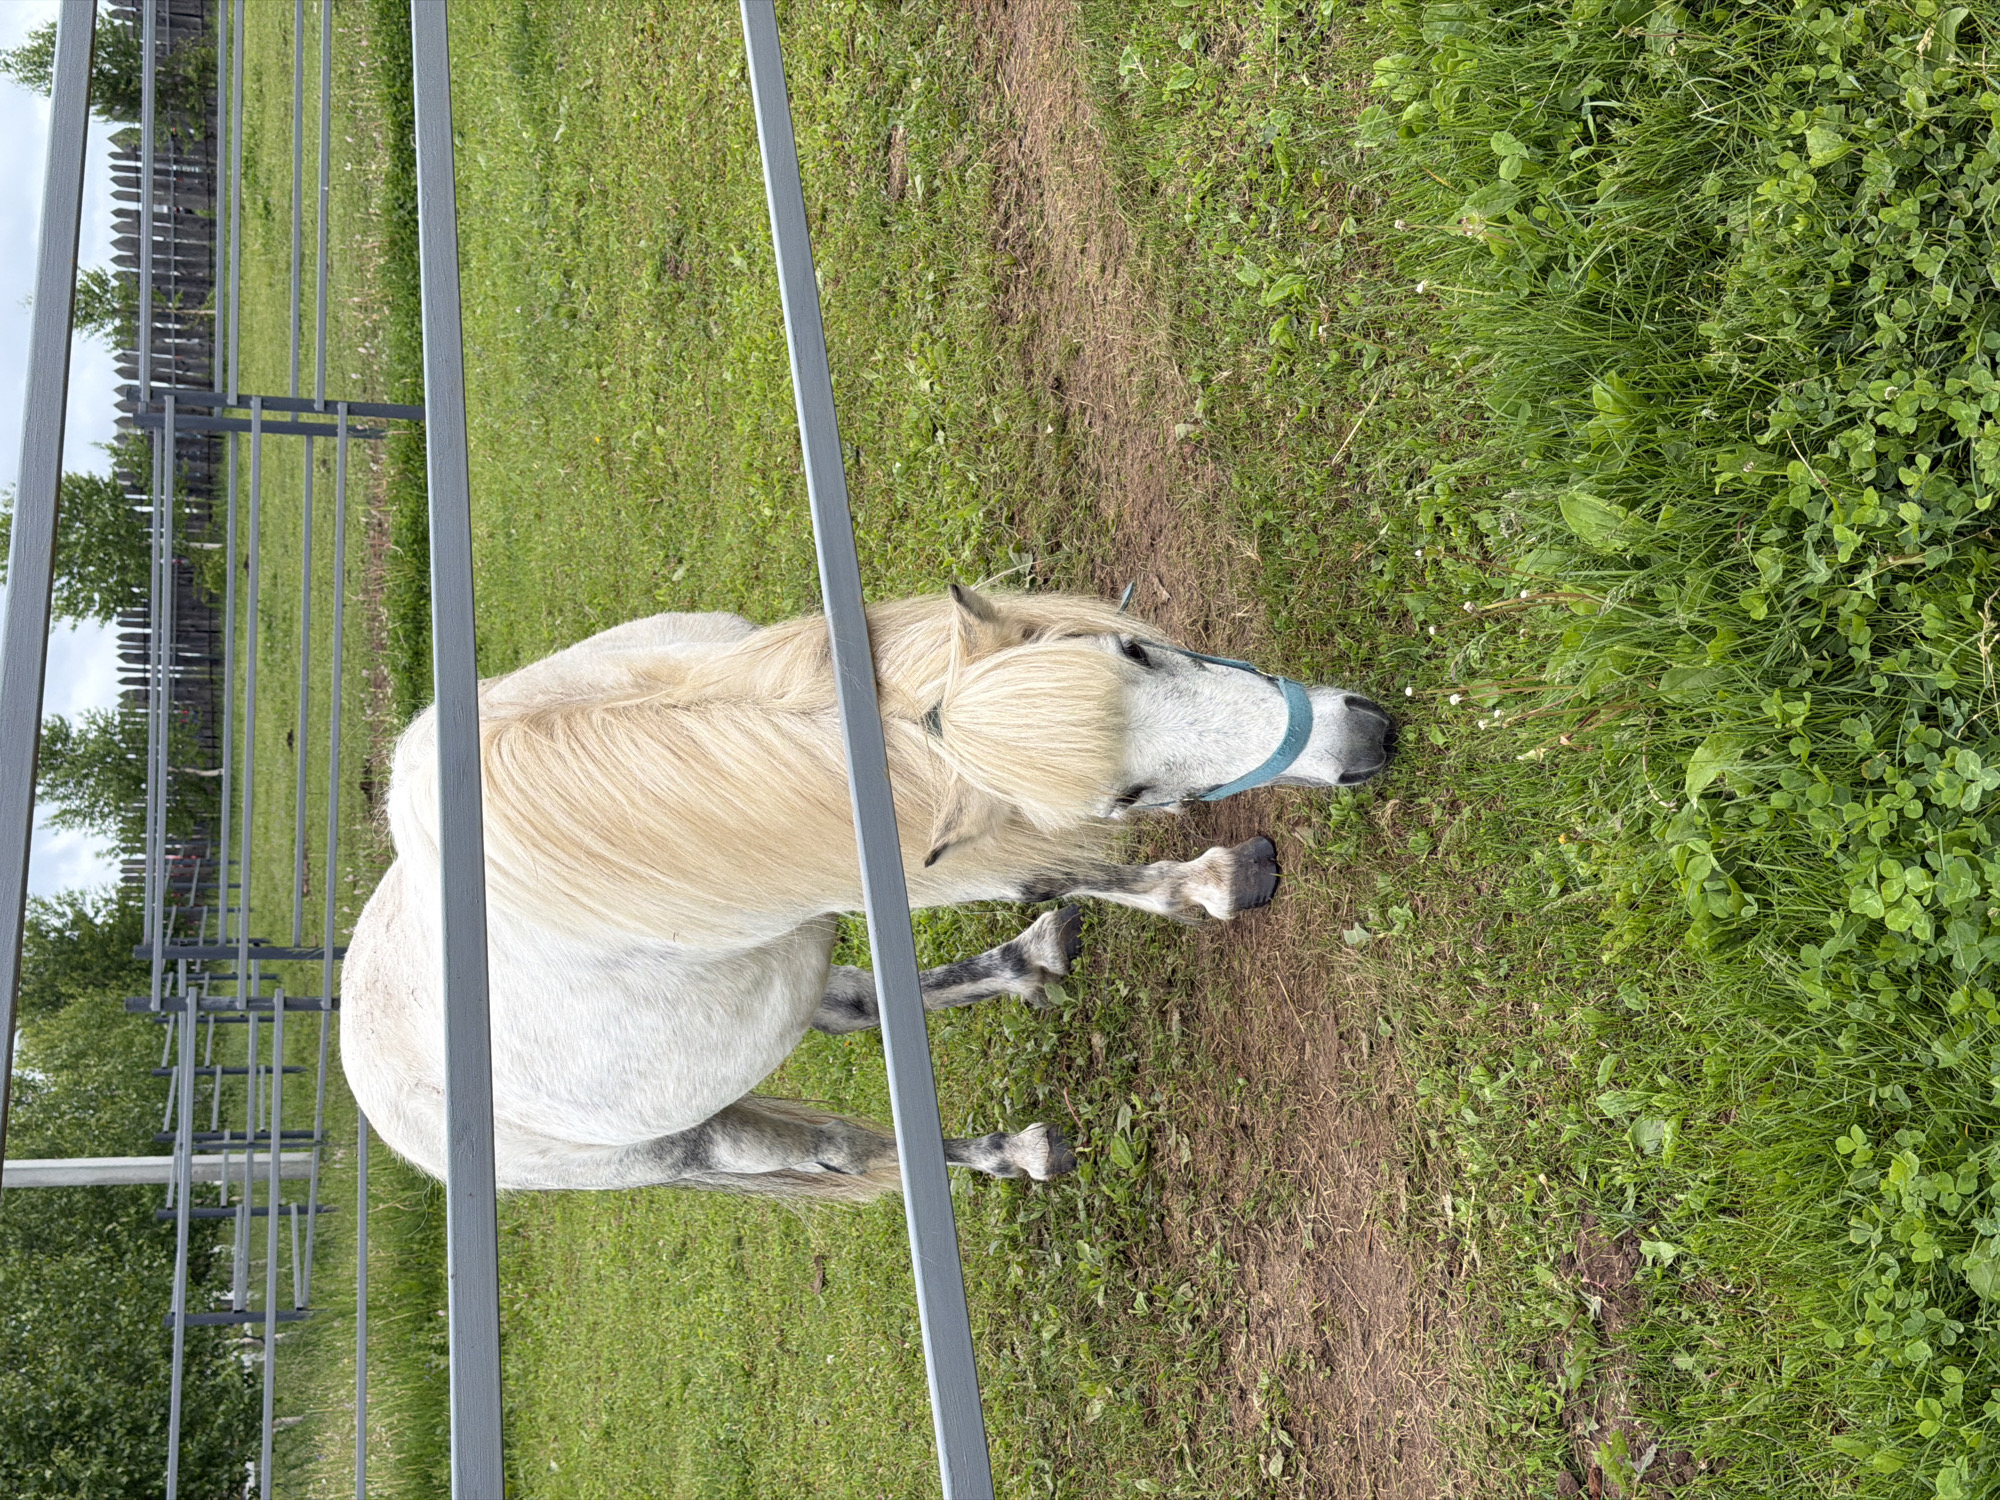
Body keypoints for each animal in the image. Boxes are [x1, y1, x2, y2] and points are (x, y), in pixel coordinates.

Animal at [340, 586, 1396, 1200]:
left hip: (789, 994)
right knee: (838, 1151)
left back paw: (1029, 963)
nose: (1367, 739)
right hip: (687, 1147)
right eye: (1123, 796)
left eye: (1135, 654)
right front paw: (1218, 884)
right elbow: (1077, 869)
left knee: (854, 1006)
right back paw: (1015, 1153)